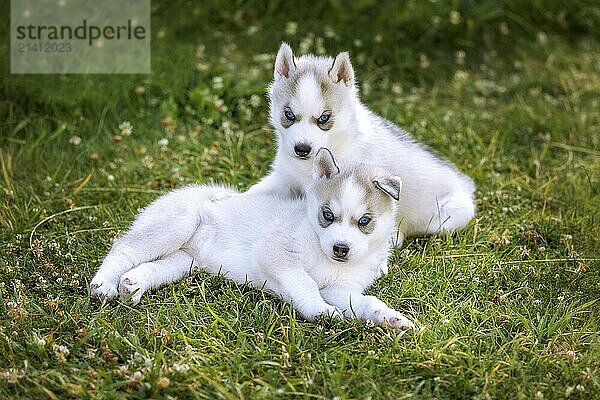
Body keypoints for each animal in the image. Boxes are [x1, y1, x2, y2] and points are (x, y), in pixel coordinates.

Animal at [91, 148, 414, 330]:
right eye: (327, 215)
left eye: (364, 221)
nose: (341, 249)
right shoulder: (275, 251)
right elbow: (304, 282)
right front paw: (320, 311)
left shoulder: (339, 289)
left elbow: (366, 302)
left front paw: (391, 319)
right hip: (176, 224)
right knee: (124, 248)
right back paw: (103, 284)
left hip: (185, 260)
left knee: (154, 266)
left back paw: (132, 285)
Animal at [246, 42, 476, 245]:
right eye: (289, 115)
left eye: (323, 118)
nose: (302, 149)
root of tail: (465, 183)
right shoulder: (284, 178)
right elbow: (253, 193)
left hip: (449, 216)